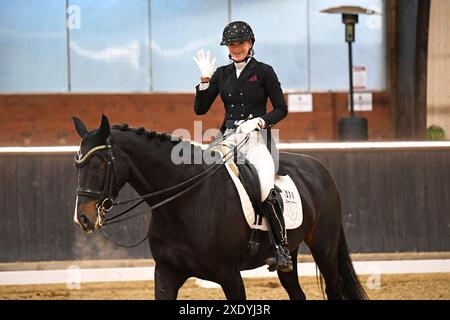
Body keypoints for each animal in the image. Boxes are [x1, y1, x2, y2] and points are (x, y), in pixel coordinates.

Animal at [72, 115, 368, 300]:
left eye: (97, 163)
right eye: (77, 163)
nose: (83, 218)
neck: (183, 203)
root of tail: (319, 168)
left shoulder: (229, 275)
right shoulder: (166, 272)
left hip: (324, 247)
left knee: (334, 288)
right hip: (290, 253)